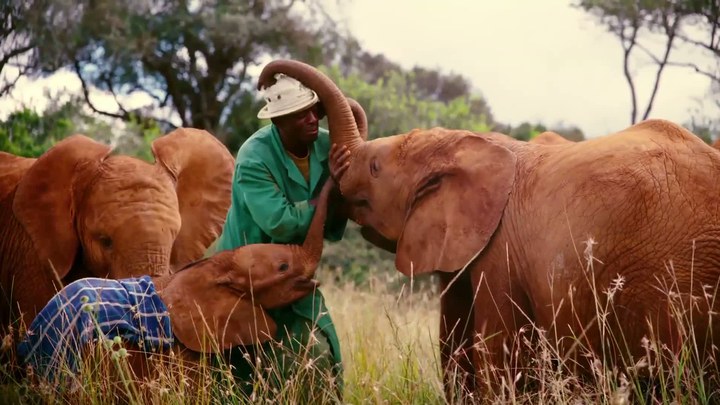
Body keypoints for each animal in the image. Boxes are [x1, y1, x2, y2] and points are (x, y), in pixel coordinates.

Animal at [256, 60, 720, 398]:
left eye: (373, 168)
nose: (265, 79)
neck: (466, 145)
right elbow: (453, 351)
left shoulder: (501, 255)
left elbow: (494, 358)